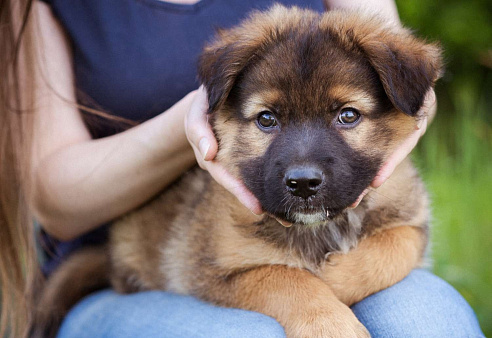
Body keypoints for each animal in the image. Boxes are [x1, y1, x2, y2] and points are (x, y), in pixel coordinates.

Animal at [33, 5, 442, 338]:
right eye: (267, 119)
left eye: (348, 115)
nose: (303, 184)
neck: (320, 228)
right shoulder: (221, 270)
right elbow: (286, 277)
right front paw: (328, 322)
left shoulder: (409, 216)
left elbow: (393, 247)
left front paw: (335, 277)